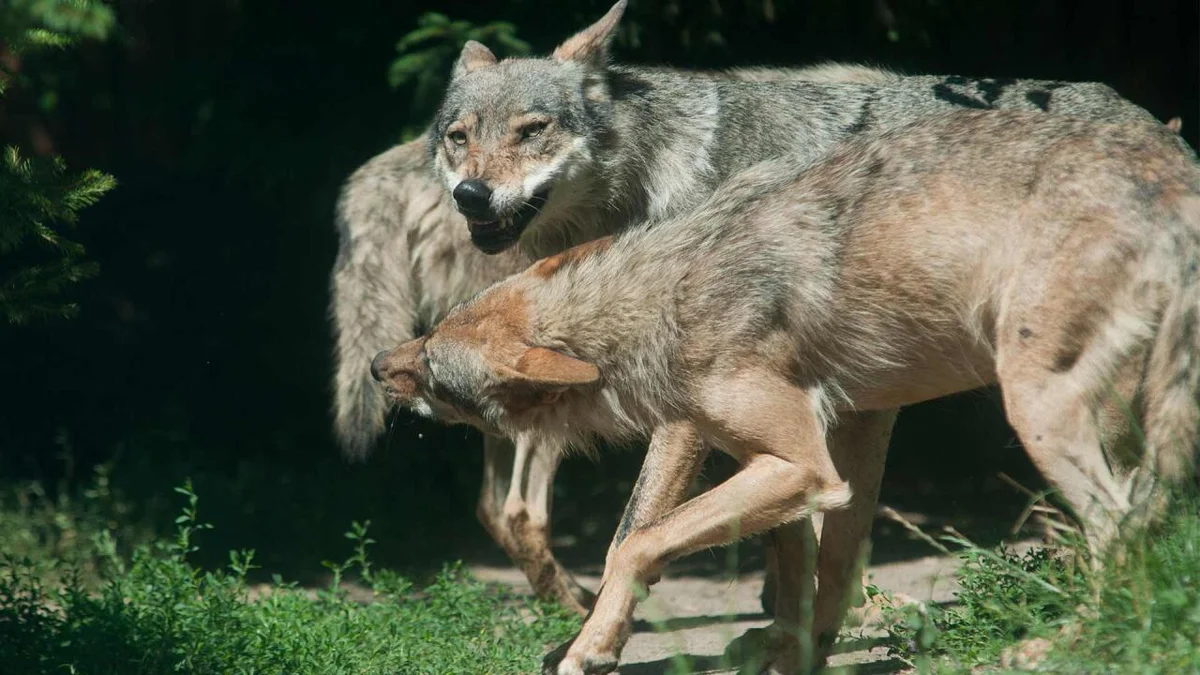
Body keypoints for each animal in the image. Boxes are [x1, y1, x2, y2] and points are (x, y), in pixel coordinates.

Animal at [372, 110, 1200, 672]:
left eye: (435, 369)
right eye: (430, 333)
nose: (379, 363)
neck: (666, 298)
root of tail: (1174, 173)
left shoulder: (800, 463)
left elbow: (634, 542)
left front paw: (591, 648)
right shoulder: (816, 458)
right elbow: (813, 574)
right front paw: (792, 654)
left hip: (1037, 412)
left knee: (1120, 530)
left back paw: (1059, 643)